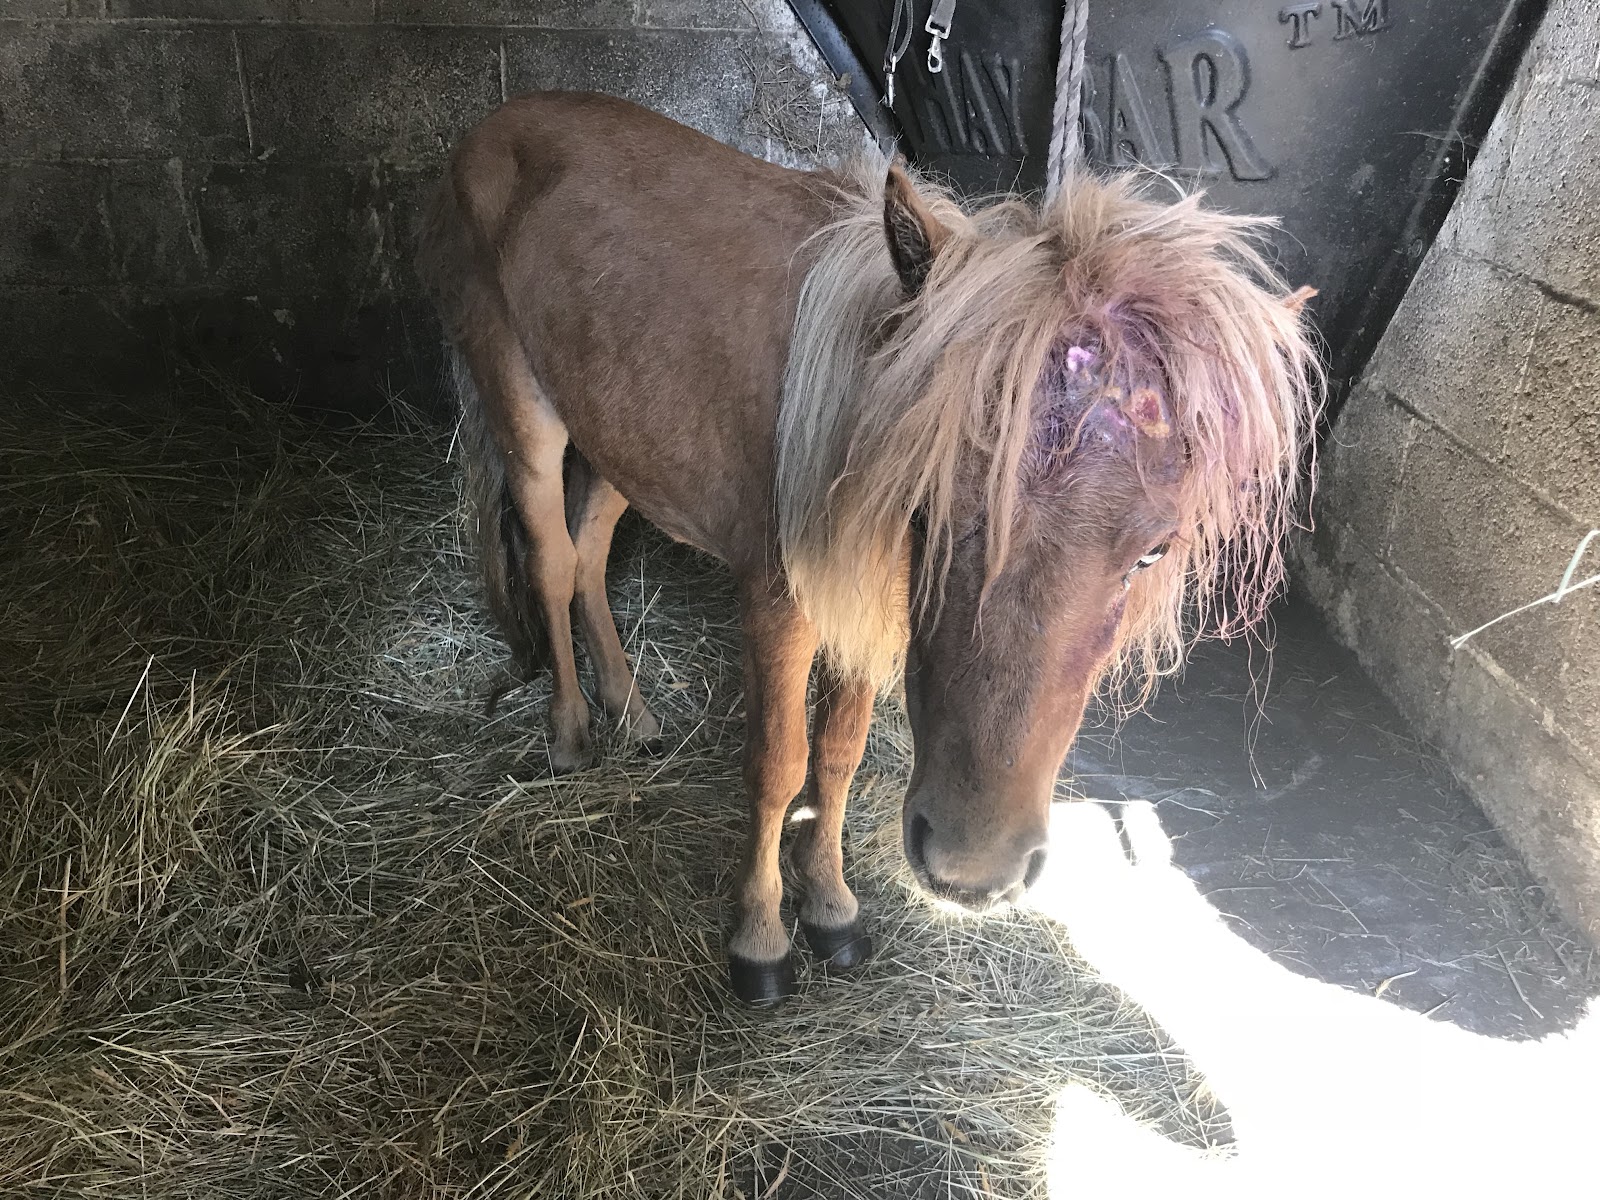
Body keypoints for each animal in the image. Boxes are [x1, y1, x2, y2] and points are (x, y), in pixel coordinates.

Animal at [419, 91, 1318, 1004]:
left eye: (1150, 554)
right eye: (927, 512)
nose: (973, 869)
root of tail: (493, 125)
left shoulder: (864, 603)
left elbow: (839, 758)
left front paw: (831, 908)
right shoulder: (781, 605)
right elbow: (779, 764)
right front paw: (761, 939)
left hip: (617, 436)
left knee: (592, 554)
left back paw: (630, 712)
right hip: (525, 408)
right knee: (551, 559)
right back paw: (570, 732)